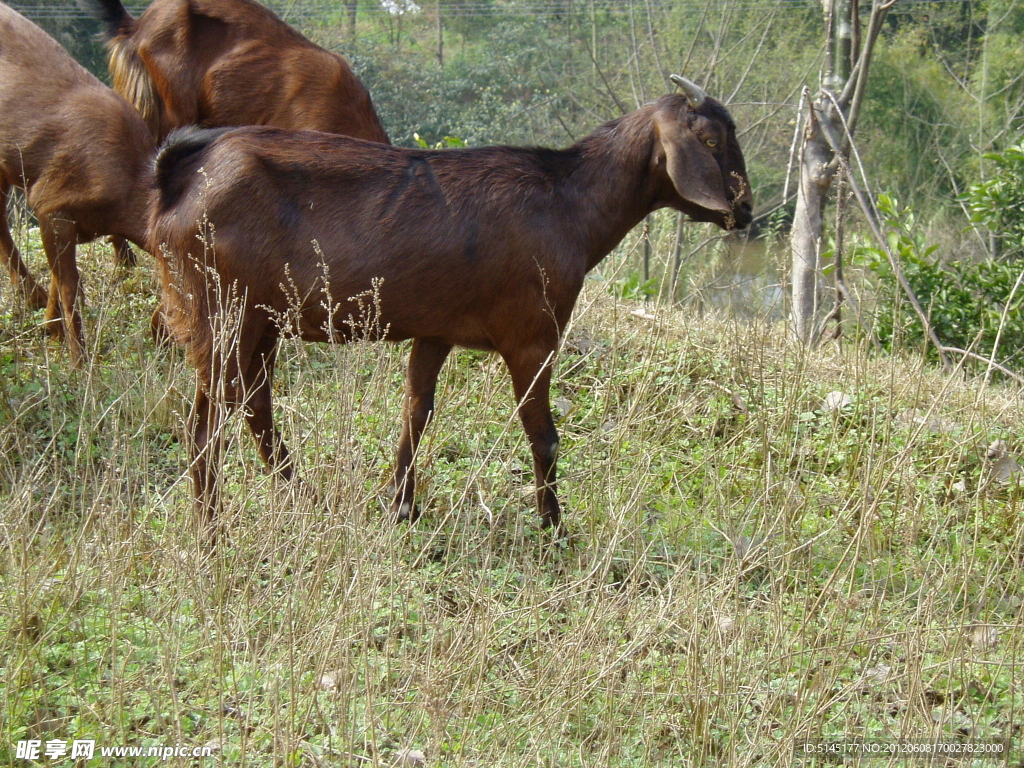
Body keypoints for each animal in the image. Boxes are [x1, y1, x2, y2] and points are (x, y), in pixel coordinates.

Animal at [0, 1, 155, 364]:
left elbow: (61, 277)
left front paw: (51, 329)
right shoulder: (51, 201)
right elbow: (69, 283)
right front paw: (77, 360)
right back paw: (31, 296)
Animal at [149, 79, 753, 536]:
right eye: (713, 139)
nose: (744, 210)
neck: (569, 201)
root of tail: (178, 173)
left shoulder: (435, 330)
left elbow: (417, 411)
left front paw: (402, 507)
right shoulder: (532, 335)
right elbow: (544, 435)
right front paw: (555, 529)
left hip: (260, 319)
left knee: (252, 405)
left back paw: (306, 499)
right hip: (222, 310)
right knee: (205, 422)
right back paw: (211, 532)